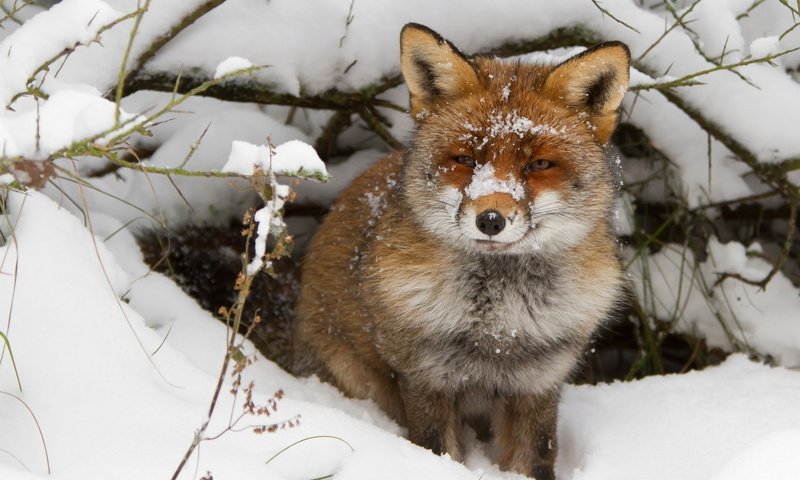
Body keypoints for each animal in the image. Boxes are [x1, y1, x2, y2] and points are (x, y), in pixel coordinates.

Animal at [294, 23, 632, 480]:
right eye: (466, 159)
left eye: (538, 165)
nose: (490, 219)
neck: (499, 327)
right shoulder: (426, 378)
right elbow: (437, 451)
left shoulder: (539, 382)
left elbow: (536, 459)